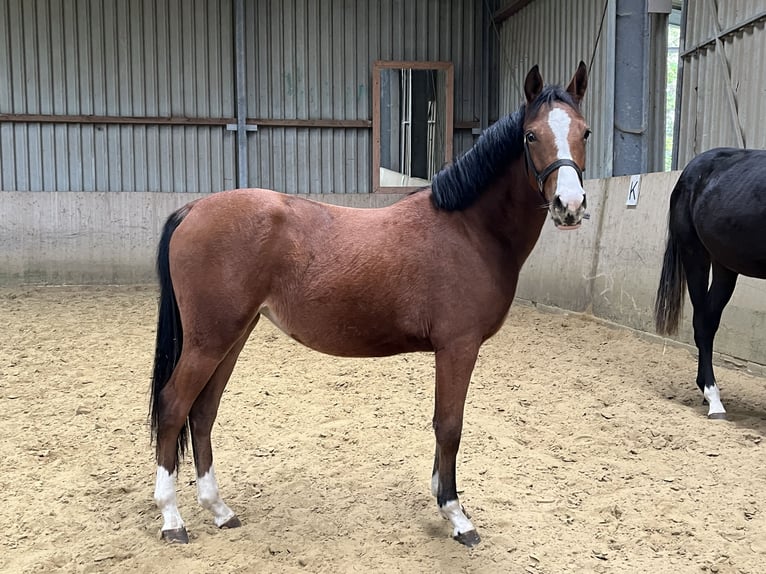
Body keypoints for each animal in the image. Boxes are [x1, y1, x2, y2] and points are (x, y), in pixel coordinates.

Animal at [152, 63, 592, 548]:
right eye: (531, 135)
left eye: (585, 132)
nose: (570, 206)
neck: (469, 229)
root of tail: (193, 209)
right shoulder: (458, 346)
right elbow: (450, 425)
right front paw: (456, 515)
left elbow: (442, 424)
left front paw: (440, 497)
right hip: (209, 341)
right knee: (174, 407)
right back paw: (172, 519)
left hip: (231, 336)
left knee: (203, 411)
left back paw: (219, 510)